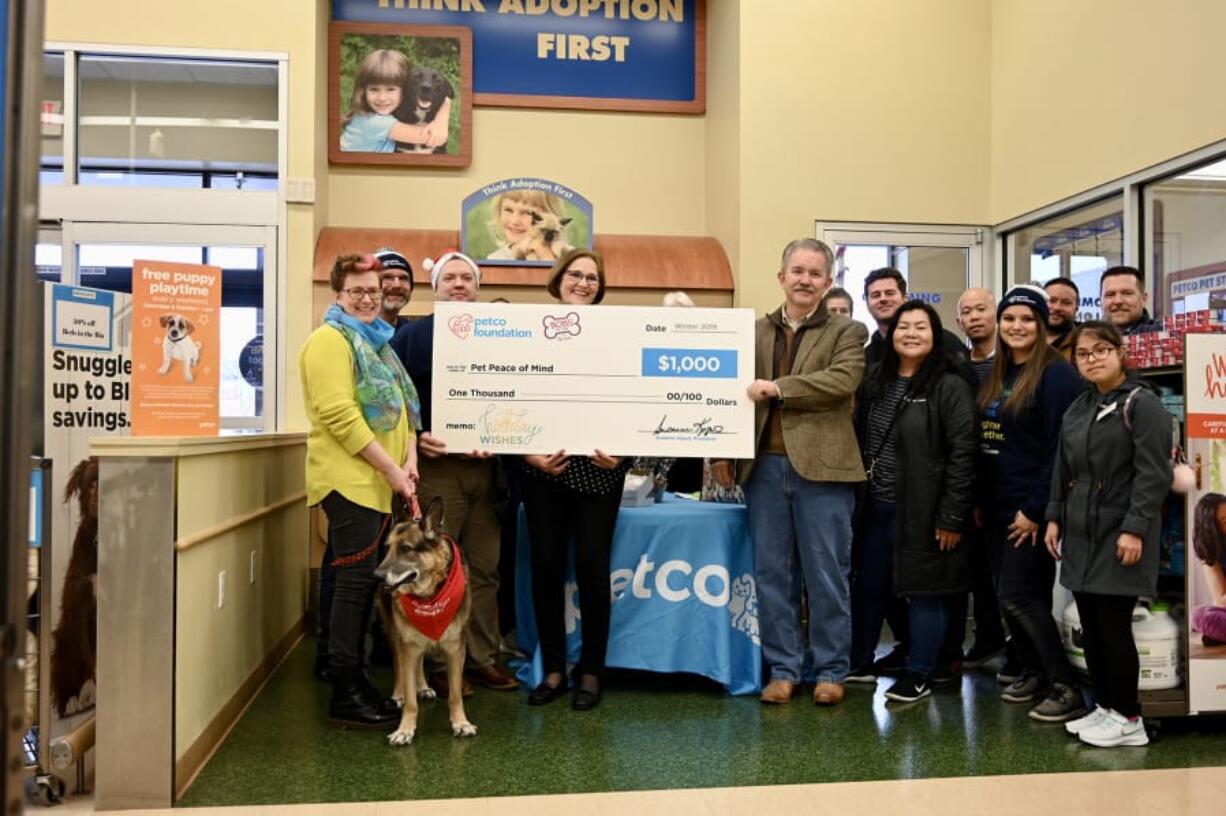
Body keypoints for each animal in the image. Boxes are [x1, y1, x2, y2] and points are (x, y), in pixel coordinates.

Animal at [372, 490, 473, 744]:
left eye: (406, 549)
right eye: (388, 548)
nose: (376, 576)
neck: (430, 598)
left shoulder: (455, 649)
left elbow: (455, 694)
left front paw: (460, 723)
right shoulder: (407, 644)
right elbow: (410, 700)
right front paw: (405, 729)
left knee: (418, 662)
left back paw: (423, 686)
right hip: (394, 634)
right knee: (399, 665)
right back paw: (398, 694)